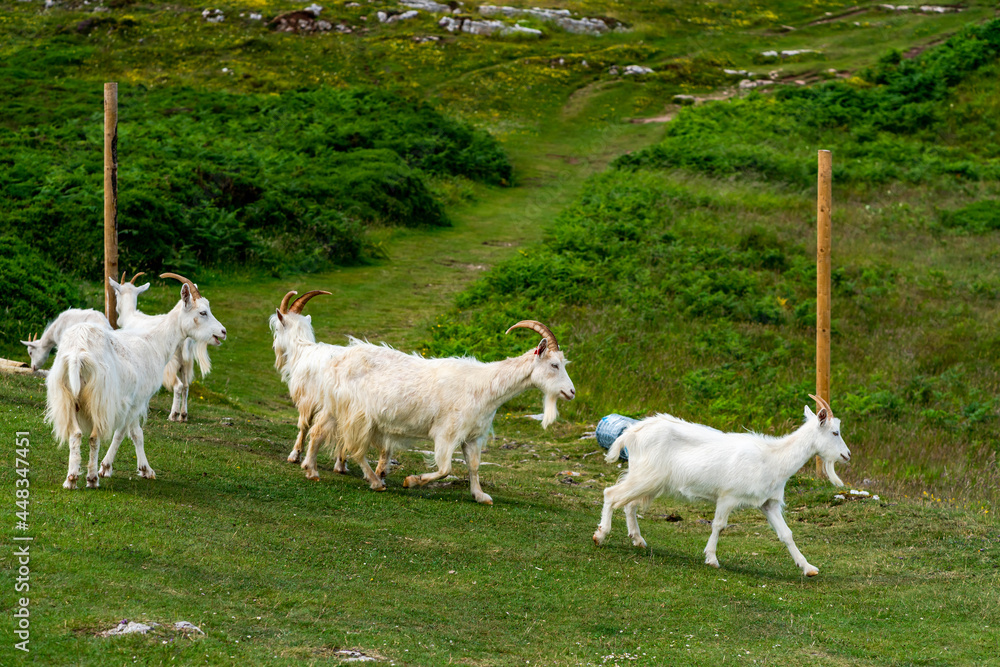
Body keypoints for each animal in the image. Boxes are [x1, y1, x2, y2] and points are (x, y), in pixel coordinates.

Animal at [109, 271, 213, 422]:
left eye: (116, 294)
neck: (132, 317)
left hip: (171, 364)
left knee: (178, 386)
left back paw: (173, 414)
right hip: (185, 363)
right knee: (186, 386)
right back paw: (183, 415)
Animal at [311, 320, 576, 504]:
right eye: (554, 365)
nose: (571, 392)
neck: (484, 387)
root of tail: (336, 360)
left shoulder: (472, 436)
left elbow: (474, 466)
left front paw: (480, 496)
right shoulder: (447, 433)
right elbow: (445, 469)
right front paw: (411, 481)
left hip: (336, 407)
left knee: (318, 431)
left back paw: (310, 469)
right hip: (358, 414)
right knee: (355, 447)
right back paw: (376, 482)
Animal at [592, 395, 851, 576]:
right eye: (835, 432)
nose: (847, 455)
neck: (773, 458)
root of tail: (633, 431)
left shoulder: (768, 503)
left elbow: (786, 534)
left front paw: (808, 568)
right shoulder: (728, 496)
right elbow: (719, 525)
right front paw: (712, 559)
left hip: (649, 480)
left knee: (629, 504)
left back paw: (638, 540)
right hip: (647, 476)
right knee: (611, 494)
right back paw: (601, 535)